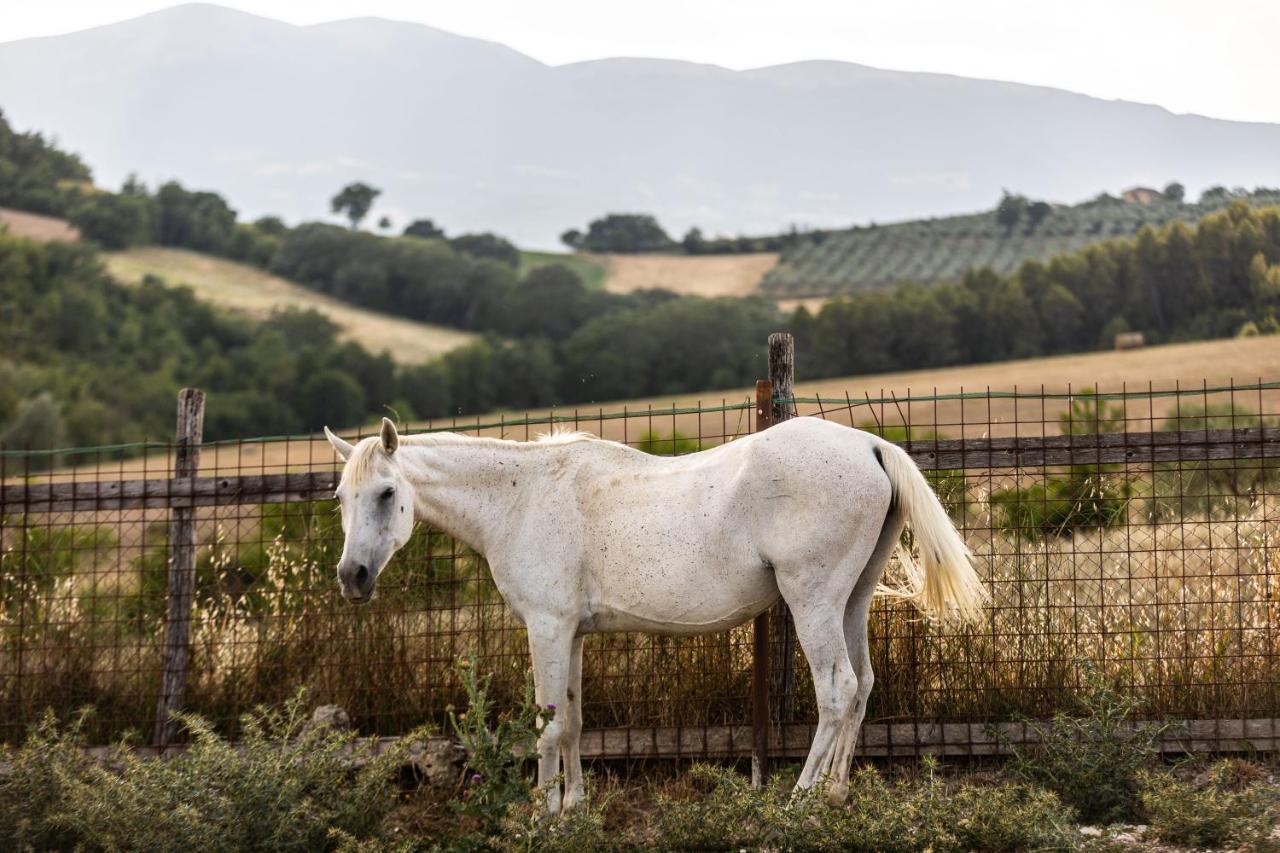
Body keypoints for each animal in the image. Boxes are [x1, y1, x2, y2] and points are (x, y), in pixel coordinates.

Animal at [325, 412, 983, 809]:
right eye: (340, 497)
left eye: (387, 492)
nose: (352, 578)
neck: (521, 497)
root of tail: (870, 445)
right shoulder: (573, 635)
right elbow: (574, 719)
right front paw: (575, 807)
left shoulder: (547, 628)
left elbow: (548, 725)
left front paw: (543, 814)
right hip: (852, 600)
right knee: (863, 685)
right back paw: (835, 796)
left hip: (814, 601)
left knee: (838, 690)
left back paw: (800, 801)